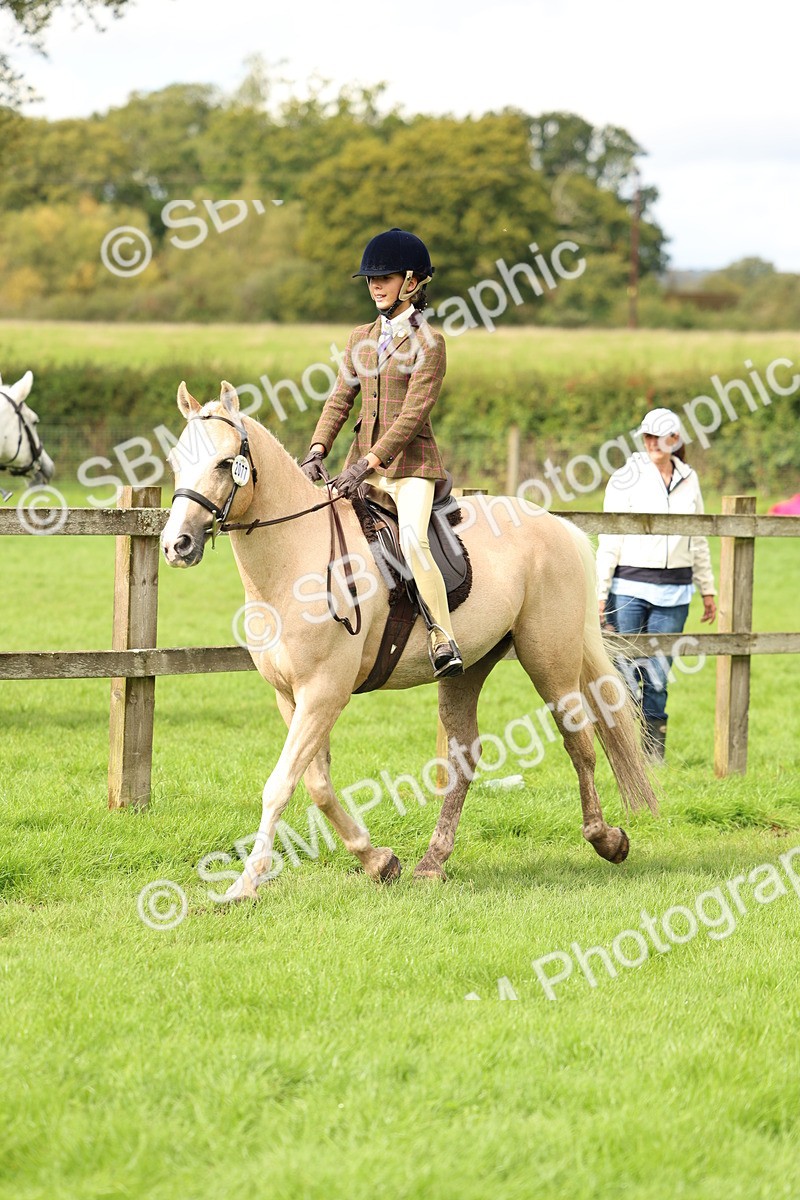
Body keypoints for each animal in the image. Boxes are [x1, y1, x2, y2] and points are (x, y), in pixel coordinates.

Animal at [161, 381, 658, 901]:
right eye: (176, 461)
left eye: (224, 463)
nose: (176, 545)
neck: (296, 555)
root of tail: (556, 524)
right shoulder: (290, 696)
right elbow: (317, 784)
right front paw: (378, 861)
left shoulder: (323, 693)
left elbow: (280, 785)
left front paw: (245, 884)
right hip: (469, 669)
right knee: (465, 757)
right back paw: (432, 862)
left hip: (550, 661)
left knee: (579, 742)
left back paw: (608, 840)